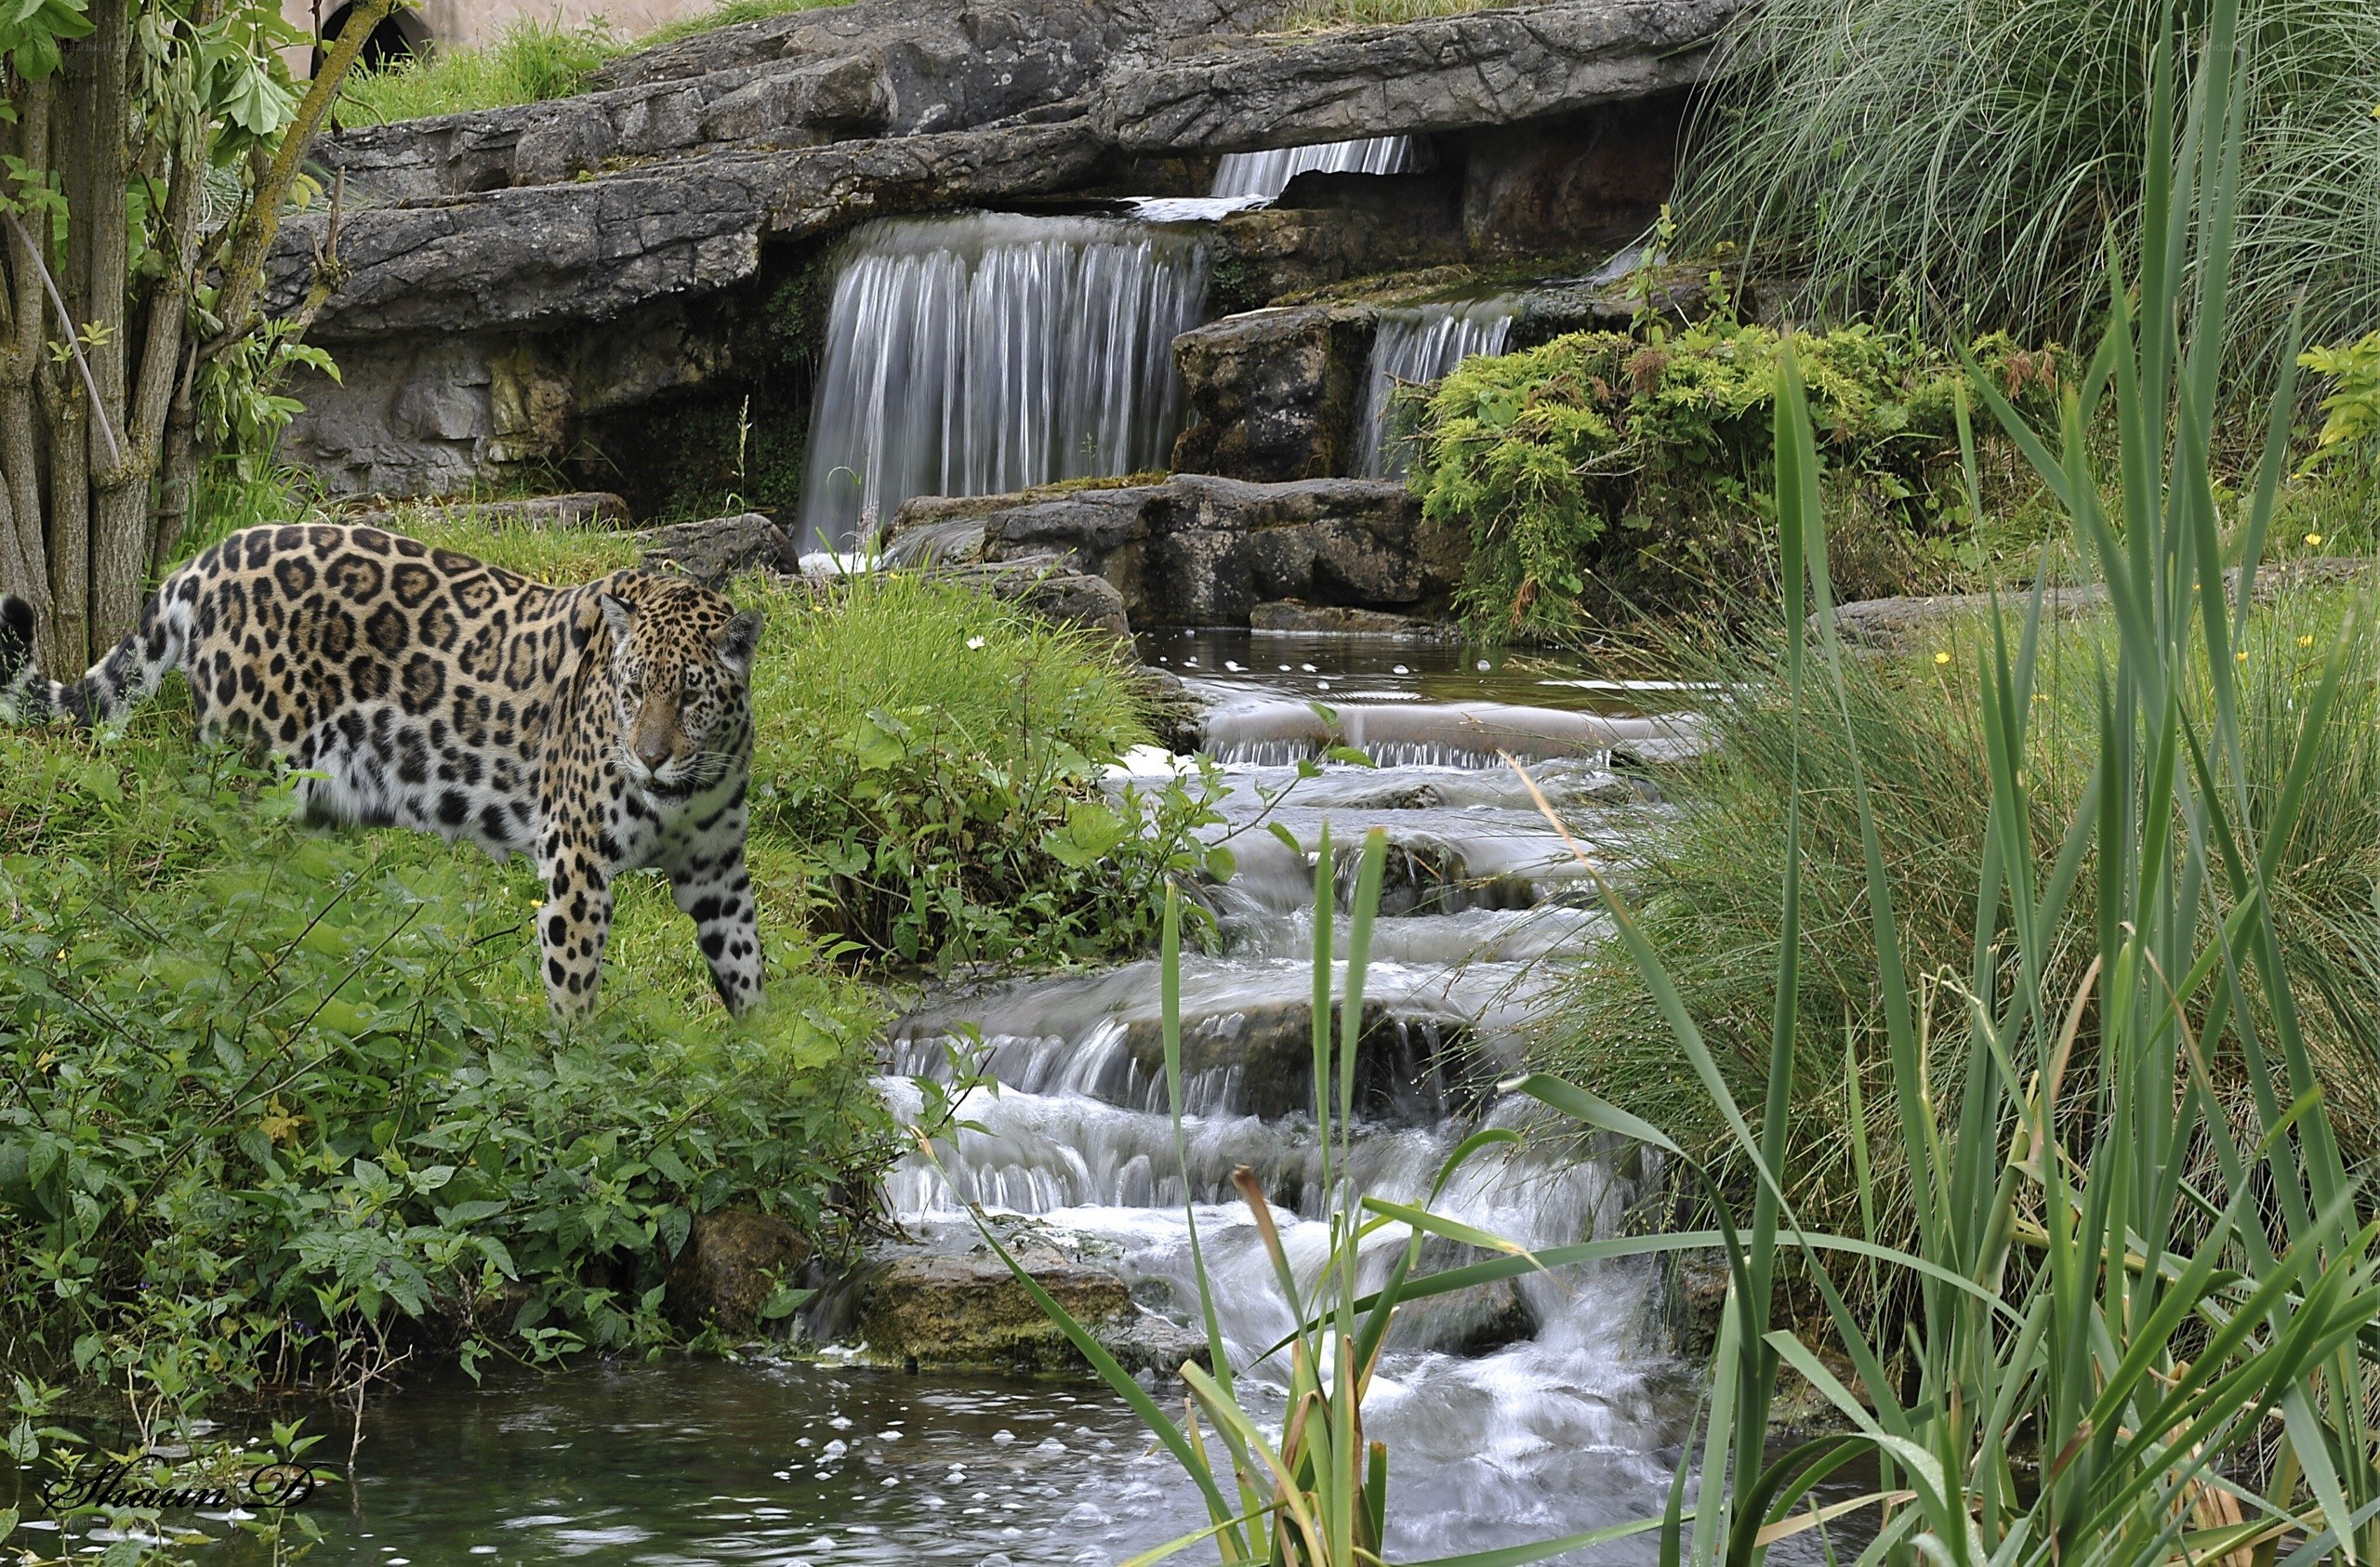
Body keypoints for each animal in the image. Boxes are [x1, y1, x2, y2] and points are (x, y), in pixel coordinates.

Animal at [0, 522, 767, 1017]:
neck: (687, 790)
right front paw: (574, 1081)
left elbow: (748, 969)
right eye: (631, 690)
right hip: (255, 776)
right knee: (219, 891)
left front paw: (761, 1066)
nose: (650, 758)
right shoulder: (577, 863)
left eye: (690, 696)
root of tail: (207, 558)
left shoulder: (716, 870)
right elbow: (574, 991)